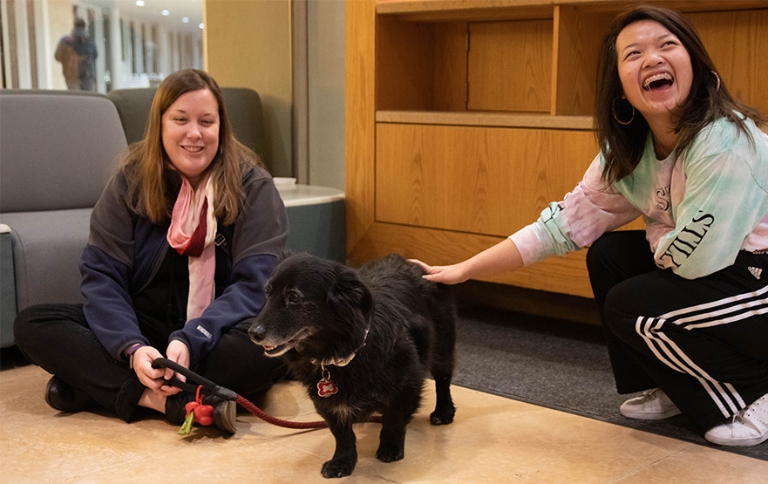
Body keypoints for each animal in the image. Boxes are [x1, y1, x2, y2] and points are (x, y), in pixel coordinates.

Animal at [246, 253, 456, 476]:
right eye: (267, 292)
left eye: (294, 297)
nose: (253, 333)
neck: (339, 353)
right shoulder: (326, 403)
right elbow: (342, 434)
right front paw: (343, 461)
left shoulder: (407, 386)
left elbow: (394, 420)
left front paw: (390, 447)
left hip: (442, 349)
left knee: (443, 379)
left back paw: (443, 411)